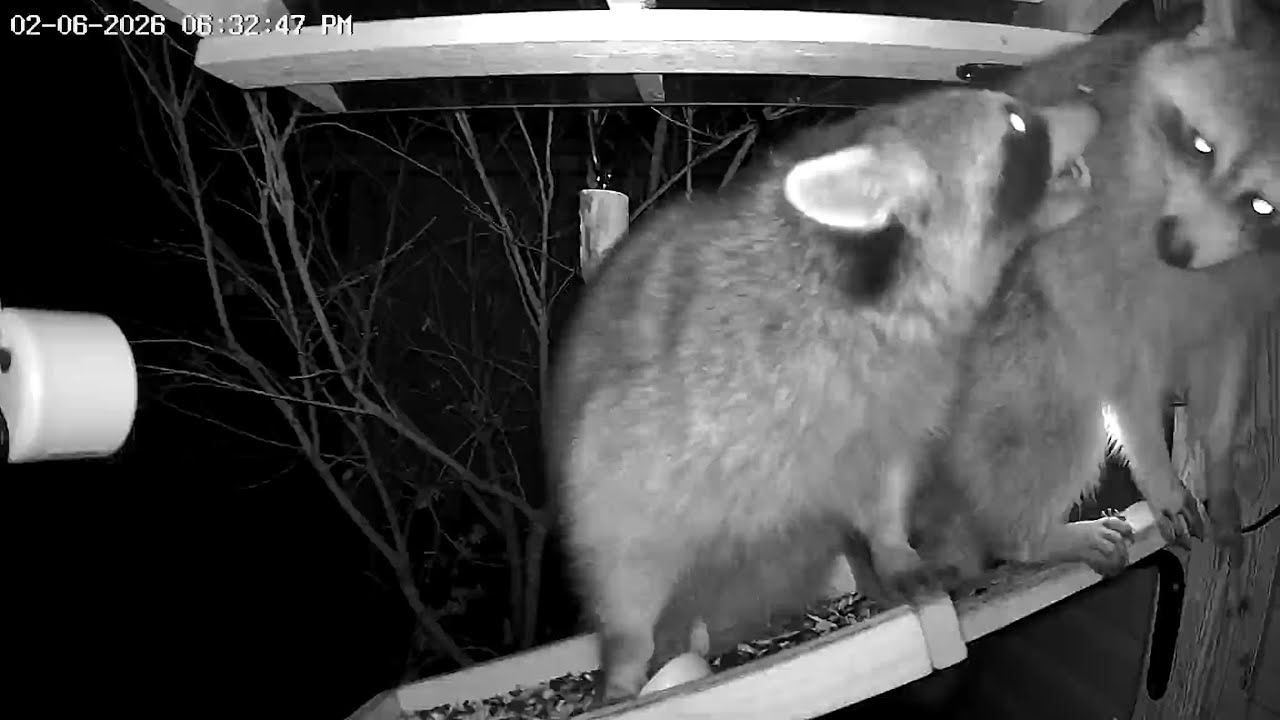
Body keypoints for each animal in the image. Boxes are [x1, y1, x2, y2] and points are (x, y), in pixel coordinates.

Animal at [546, 88, 1100, 701]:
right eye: (1018, 123)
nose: (1089, 97)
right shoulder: (657, 413)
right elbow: (621, 535)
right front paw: (625, 656)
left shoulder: (897, 399)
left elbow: (885, 482)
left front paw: (892, 546)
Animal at [912, 0, 1280, 583]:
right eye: (1202, 147)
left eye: (1262, 206)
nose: (1173, 247)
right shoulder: (1090, 244)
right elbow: (1124, 368)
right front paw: (1156, 468)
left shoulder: (1238, 291)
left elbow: (1227, 360)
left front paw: (1220, 467)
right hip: (998, 359)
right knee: (1049, 414)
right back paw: (1026, 538)